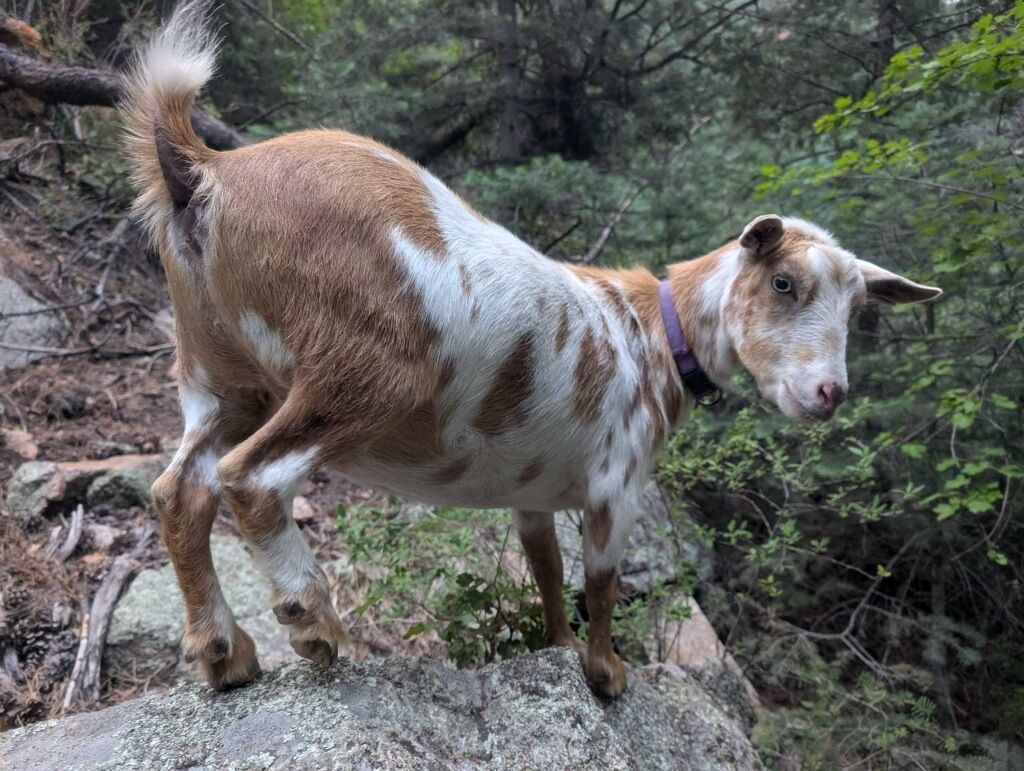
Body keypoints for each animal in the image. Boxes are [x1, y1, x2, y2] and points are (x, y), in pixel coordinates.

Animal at [123, 1, 942, 697]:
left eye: (859, 307)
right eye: (783, 281)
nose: (828, 393)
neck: (653, 331)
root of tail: (208, 170)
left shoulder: (532, 493)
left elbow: (547, 574)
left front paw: (558, 648)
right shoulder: (617, 484)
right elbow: (600, 585)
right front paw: (608, 672)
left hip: (220, 376)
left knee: (179, 490)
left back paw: (224, 652)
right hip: (365, 371)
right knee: (251, 476)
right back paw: (313, 620)